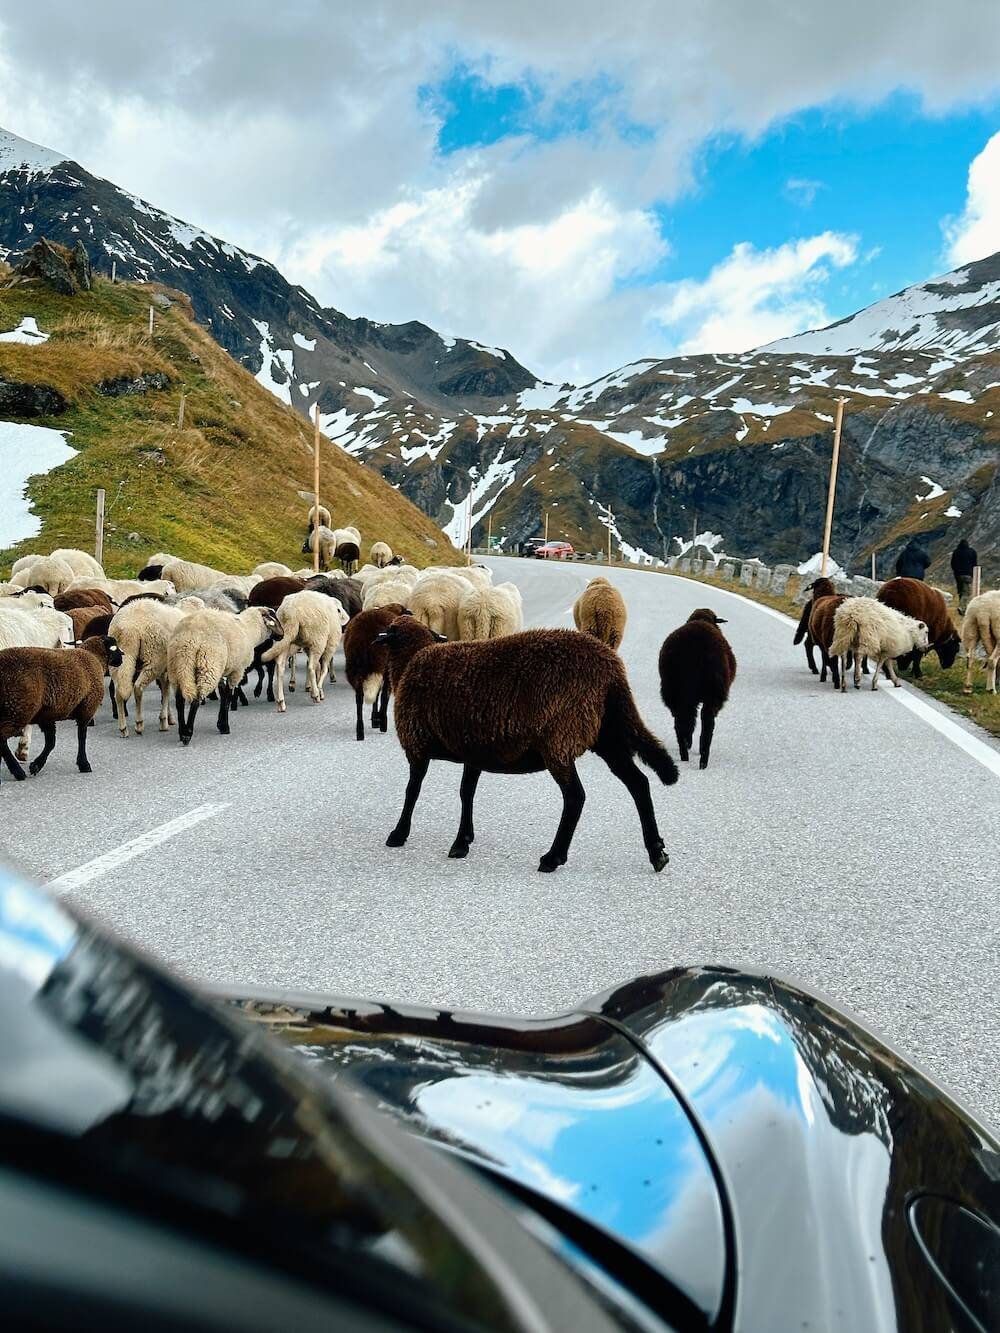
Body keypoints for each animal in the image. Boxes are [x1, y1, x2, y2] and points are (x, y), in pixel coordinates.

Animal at [0, 634, 123, 778]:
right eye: (114, 647)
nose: (123, 656)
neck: (94, 657)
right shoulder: (87, 708)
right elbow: (82, 737)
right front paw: (84, 764)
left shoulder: (47, 715)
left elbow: (51, 743)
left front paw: (36, 765)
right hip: (17, 708)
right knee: (1, 739)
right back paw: (18, 772)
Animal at [166, 607, 280, 746]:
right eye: (275, 617)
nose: (282, 636)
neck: (249, 629)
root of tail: (189, 637)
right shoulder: (237, 670)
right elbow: (228, 696)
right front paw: (225, 726)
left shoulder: (222, 672)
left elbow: (223, 694)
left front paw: (220, 723)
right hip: (208, 664)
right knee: (196, 699)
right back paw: (187, 734)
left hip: (177, 667)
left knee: (179, 701)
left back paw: (182, 731)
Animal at [344, 605, 408, 741]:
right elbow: (383, 695)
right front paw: (379, 719)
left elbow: (376, 695)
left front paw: (374, 719)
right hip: (384, 665)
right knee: (383, 694)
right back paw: (383, 723)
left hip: (354, 666)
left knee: (359, 696)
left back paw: (360, 731)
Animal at [376, 621, 682, 874]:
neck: (409, 663)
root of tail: (612, 669)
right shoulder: (473, 750)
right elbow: (466, 794)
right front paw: (462, 842)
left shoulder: (416, 745)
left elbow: (412, 791)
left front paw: (398, 834)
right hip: (606, 734)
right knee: (638, 784)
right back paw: (657, 852)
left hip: (561, 738)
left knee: (576, 797)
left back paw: (553, 858)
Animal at [661, 607, 741, 767]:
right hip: (710, 694)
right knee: (705, 723)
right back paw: (699, 758)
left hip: (679, 692)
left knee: (684, 721)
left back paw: (688, 753)